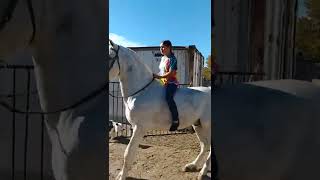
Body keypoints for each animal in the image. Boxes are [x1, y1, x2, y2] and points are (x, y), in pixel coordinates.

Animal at [109, 40, 211, 179]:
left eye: (109, 57)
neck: (141, 91)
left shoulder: (139, 128)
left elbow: (128, 154)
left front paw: (122, 176)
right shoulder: (135, 127)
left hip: (207, 126)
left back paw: (202, 172)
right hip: (198, 125)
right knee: (204, 145)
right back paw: (192, 166)